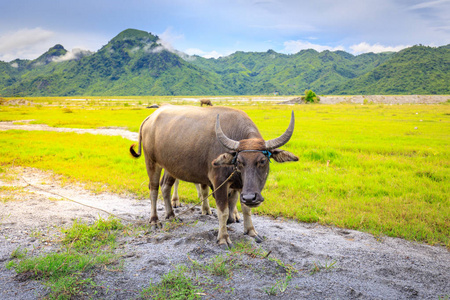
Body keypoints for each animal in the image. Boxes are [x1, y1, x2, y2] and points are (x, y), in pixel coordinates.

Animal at [129, 104, 298, 247]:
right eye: (239, 162)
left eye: (262, 161)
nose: (251, 197)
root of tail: (151, 117)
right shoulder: (219, 182)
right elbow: (223, 211)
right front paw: (223, 238)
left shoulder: (242, 186)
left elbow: (245, 208)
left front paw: (251, 231)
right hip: (151, 161)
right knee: (154, 189)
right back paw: (154, 220)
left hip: (171, 167)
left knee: (165, 187)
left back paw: (171, 215)